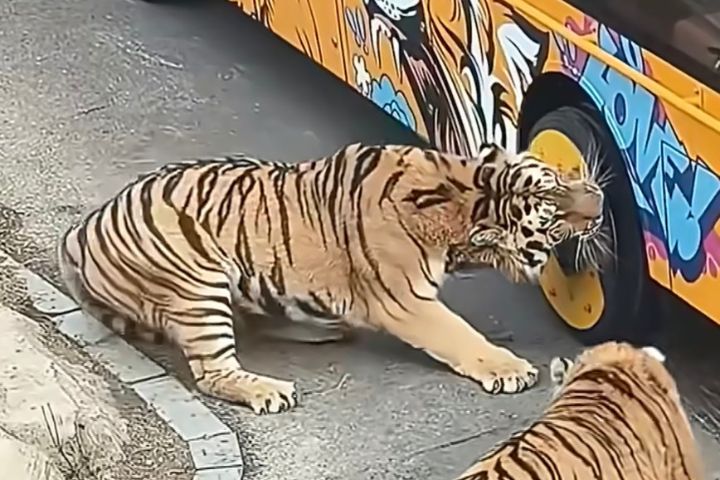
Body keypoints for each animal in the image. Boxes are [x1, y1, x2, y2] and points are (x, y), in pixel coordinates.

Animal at [57, 142, 605, 415]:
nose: (599, 203)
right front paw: (509, 368)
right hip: (196, 280)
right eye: (553, 217)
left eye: (560, 181)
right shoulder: (405, 299)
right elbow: (458, 334)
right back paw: (268, 391)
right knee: (213, 371)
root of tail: (78, 233)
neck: (467, 195)